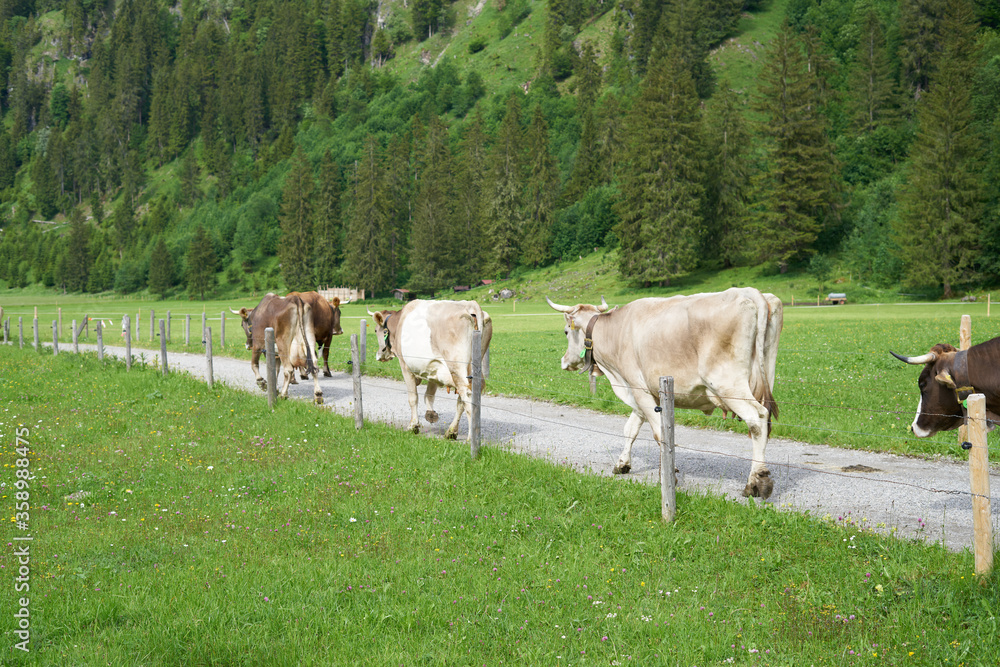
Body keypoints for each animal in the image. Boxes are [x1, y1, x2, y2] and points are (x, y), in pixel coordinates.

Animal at [368, 300, 492, 440]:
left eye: (375, 330)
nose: (379, 355)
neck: (399, 321)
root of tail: (470, 304)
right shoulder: (434, 366)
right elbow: (429, 394)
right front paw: (430, 414)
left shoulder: (405, 366)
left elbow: (413, 397)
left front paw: (413, 426)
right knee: (463, 400)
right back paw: (451, 432)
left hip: (457, 367)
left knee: (466, 397)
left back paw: (470, 438)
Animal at [548, 290, 780, 498]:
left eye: (566, 332)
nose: (563, 361)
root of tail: (750, 292)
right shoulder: (644, 392)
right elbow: (631, 429)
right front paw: (623, 464)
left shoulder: (638, 387)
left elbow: (658, 432)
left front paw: (669, 476)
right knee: (765, 420)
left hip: (729, 384)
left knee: (757, 419)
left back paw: (756, 482)